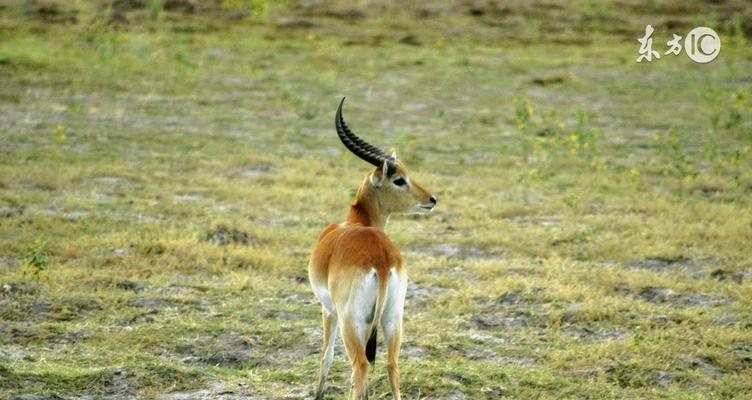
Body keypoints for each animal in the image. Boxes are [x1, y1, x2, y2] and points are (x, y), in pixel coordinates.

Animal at [308, 97, 438, 400]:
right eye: (399, 179)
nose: (431, 199)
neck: (357, 222)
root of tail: (381, 259)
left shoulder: (328, 310)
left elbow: (326, 356)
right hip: (393, 317)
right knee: (392, 364)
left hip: (350, 321)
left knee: (360, 365)